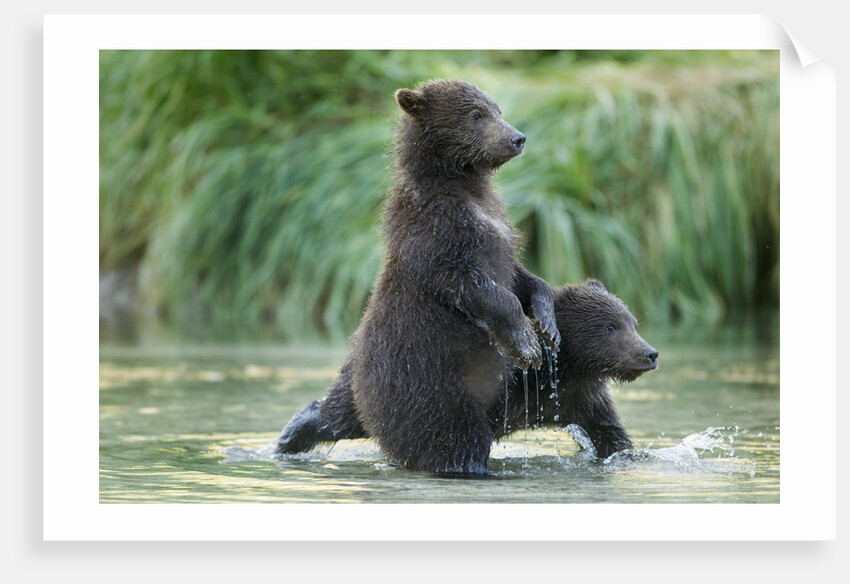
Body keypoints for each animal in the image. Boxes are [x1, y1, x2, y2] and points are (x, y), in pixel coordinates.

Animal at [275, 80, 560, 474]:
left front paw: (548, 324)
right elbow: (472, 284)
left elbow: (521, 277)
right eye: (476, 115)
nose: (517, 138)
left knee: (340, 412)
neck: (462, 184)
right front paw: (526, 343)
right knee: (455, 436)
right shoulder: (436, 230)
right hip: (428, 379)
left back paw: (294, 432)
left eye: (497, 109)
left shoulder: (499, 229)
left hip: (359, 372)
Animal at [276, 279, 657, 465]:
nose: (649, 353)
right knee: (342, 415)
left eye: (633, 322)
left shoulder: (580, 398)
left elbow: (608, 433)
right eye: (610, 327)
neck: (566, 370)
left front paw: (630, 453)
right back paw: (290, 437)